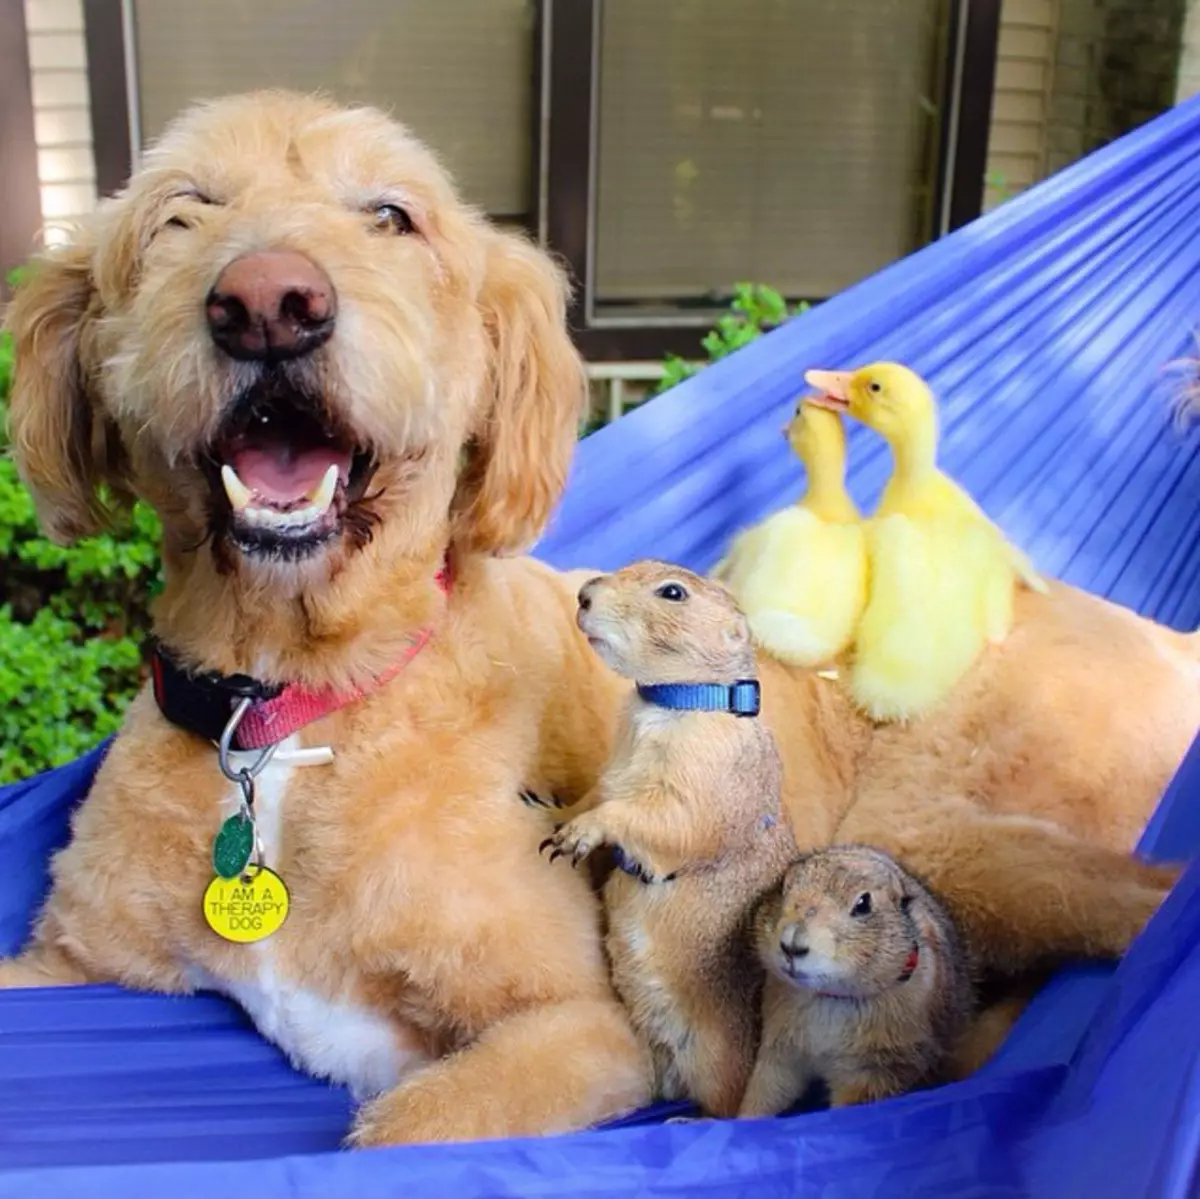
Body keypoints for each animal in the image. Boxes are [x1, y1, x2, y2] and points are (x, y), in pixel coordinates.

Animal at [4, 91, 1195, 1142]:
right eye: (180, 213)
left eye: (391, 215)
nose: (267, 301)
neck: (291, 702)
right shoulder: (67, 965)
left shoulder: (580, 1027)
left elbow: (412, 1128)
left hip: (952, 836)